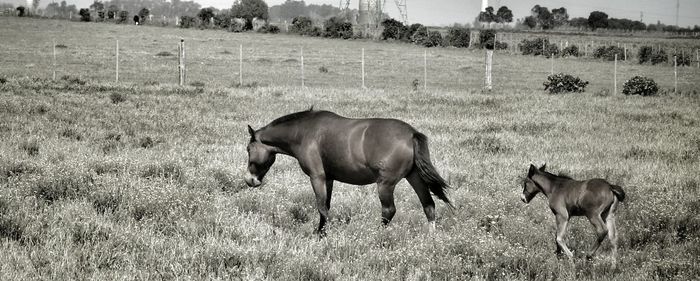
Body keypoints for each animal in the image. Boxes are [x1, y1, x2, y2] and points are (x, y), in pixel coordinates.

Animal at [246, 108, 454, 233]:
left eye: (248, 149)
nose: (249, 180)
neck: (305, 133)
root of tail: (411, 134)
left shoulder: (317, 177)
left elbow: (321, 207)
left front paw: (323, 234)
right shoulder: (329, 179)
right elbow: (326, 205)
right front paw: (321, 233)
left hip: (385, 185)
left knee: (389, 211)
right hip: (415, 178)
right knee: (428, 206)